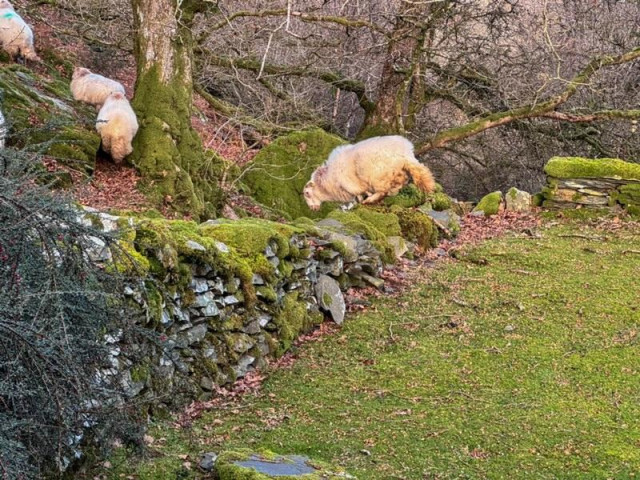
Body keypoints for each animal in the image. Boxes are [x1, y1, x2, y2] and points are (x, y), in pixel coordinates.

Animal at [303, 135, 436, 211]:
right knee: (397, 185)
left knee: (383, 191)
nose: (312, 209)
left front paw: (358, 203)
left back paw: (370, 200)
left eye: (307, 193)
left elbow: (360, 194)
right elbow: (360, 195)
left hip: (377, 175)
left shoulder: (352, 184)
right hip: (396, 173)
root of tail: (405, 153)